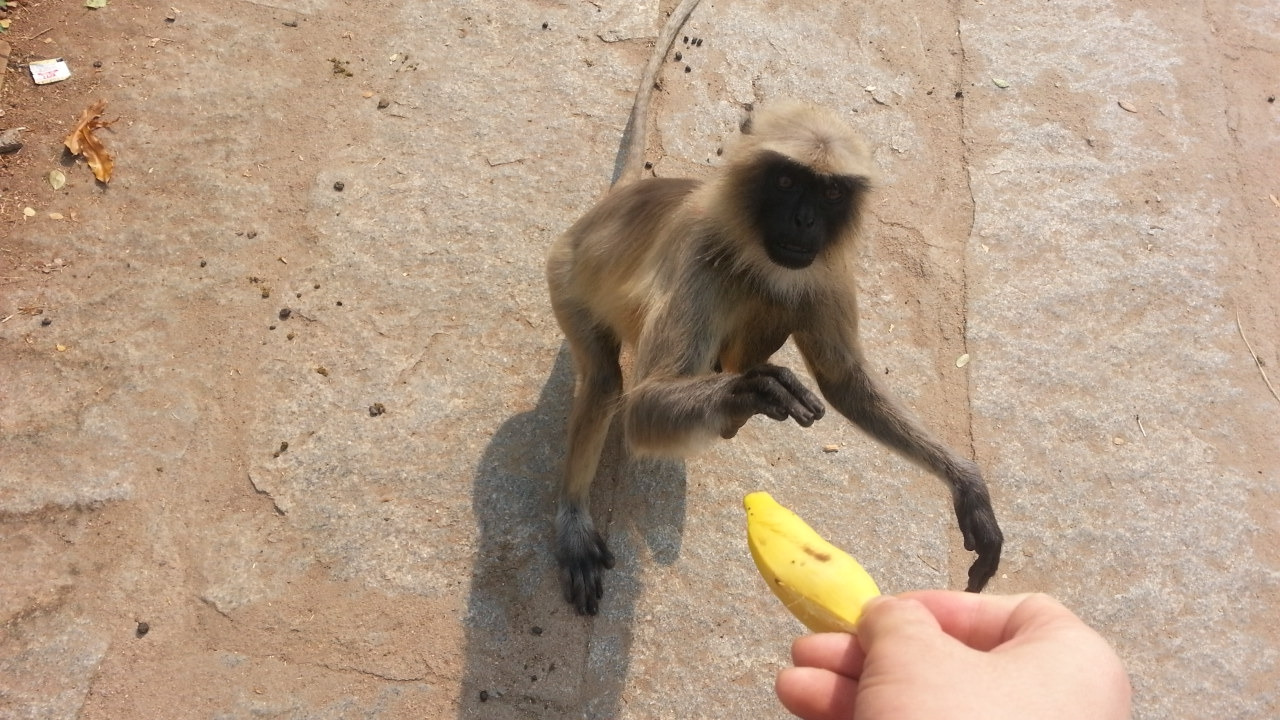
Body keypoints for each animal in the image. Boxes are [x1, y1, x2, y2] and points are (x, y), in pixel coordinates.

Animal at [545, 14, 1002, 619]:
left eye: (829, 193)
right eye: (786, 183)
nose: (805, 220)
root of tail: (609, 206)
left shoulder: (826, 268)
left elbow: (844, 383)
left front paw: (966, 483)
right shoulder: (697, 248)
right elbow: (640, 409)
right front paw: (757, 391)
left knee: (779, 303)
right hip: (564, 281)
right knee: (603, 381)